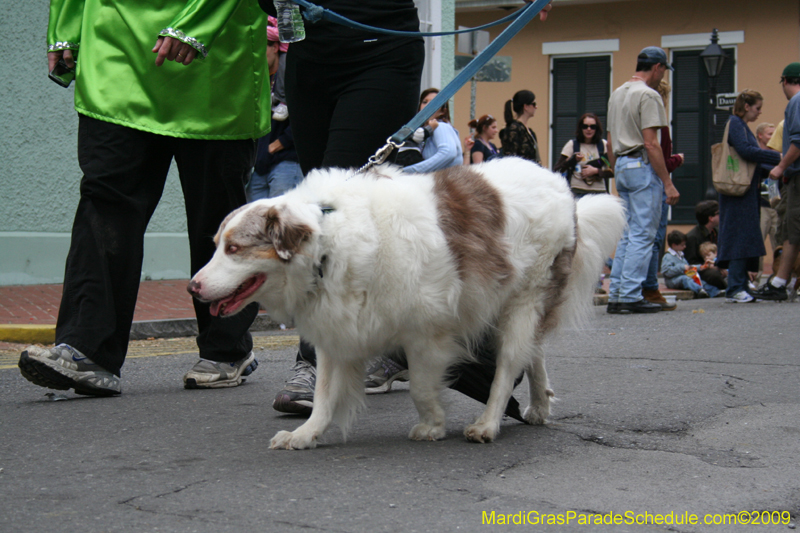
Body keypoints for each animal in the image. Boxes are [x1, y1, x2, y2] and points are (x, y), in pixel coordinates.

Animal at [188, 156, 624, 446]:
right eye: (217, 244)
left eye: (234, 248)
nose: (192, 287)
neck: (328, 240)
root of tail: (560, 184)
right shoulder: (337, 330)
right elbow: (324, 396)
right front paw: (307, 433)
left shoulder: (427, 333)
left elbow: (420, 388)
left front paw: (432, 425)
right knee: (534, 355)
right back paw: (539, 406)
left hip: (523, 300)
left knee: (508, 366)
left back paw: (487, 423)